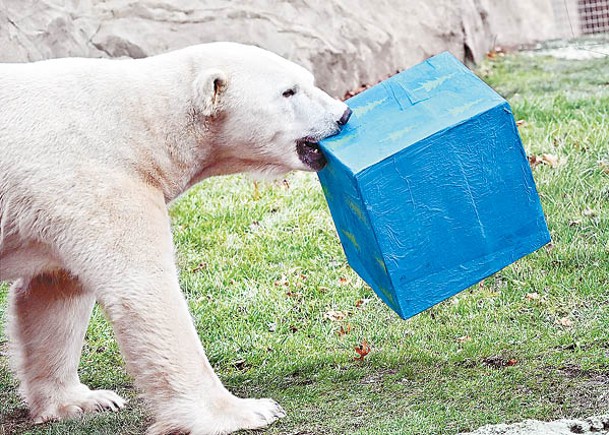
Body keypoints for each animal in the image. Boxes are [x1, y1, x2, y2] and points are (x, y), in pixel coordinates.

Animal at [0, 43, 352, 435]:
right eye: (288, 91)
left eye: (309, 79)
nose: (344, 115)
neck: (139, 124)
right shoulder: (99, 179)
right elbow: (145, 290)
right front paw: (246, 411)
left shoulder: (60, 204)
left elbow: (54, 292)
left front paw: (82, 401)